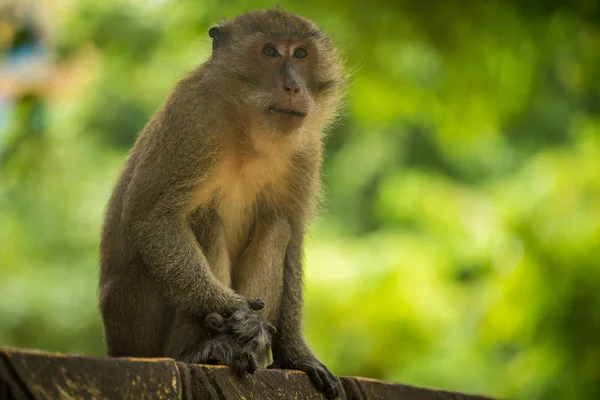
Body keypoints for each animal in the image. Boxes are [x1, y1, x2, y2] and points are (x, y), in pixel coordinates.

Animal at [97, 7, 342, 400]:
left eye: (301, 54)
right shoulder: (192, 115)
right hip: (131, 317)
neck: (250, 131)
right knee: (202, 217)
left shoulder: (306, 148)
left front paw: (295, 355)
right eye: (270, 51)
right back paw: (203, 350)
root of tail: (114, 348)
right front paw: (232, 309)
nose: (293, 86)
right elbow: (154, 219)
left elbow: (293, 234)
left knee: (276, 226)